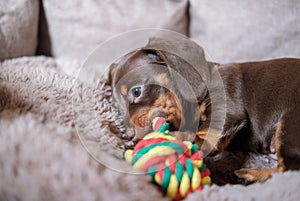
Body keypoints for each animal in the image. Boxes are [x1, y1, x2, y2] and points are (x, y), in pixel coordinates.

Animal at [109, 37, 300, 183]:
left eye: (136, 92)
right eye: (117, 106)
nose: (129, 136)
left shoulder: (226, 111)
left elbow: (203, 133)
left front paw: (179, 138)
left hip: (289, 125)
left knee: (289, 169)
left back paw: (247, 175)